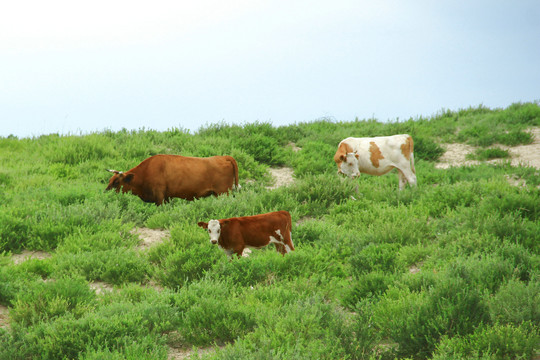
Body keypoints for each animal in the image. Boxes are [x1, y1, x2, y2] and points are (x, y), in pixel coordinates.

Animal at [105, 154, 238, 205]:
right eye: (110, 180)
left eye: (116, 182)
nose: (105, 192)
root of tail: (224, 157)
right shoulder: (167, 197)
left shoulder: (160, 197)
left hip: (223, 193)